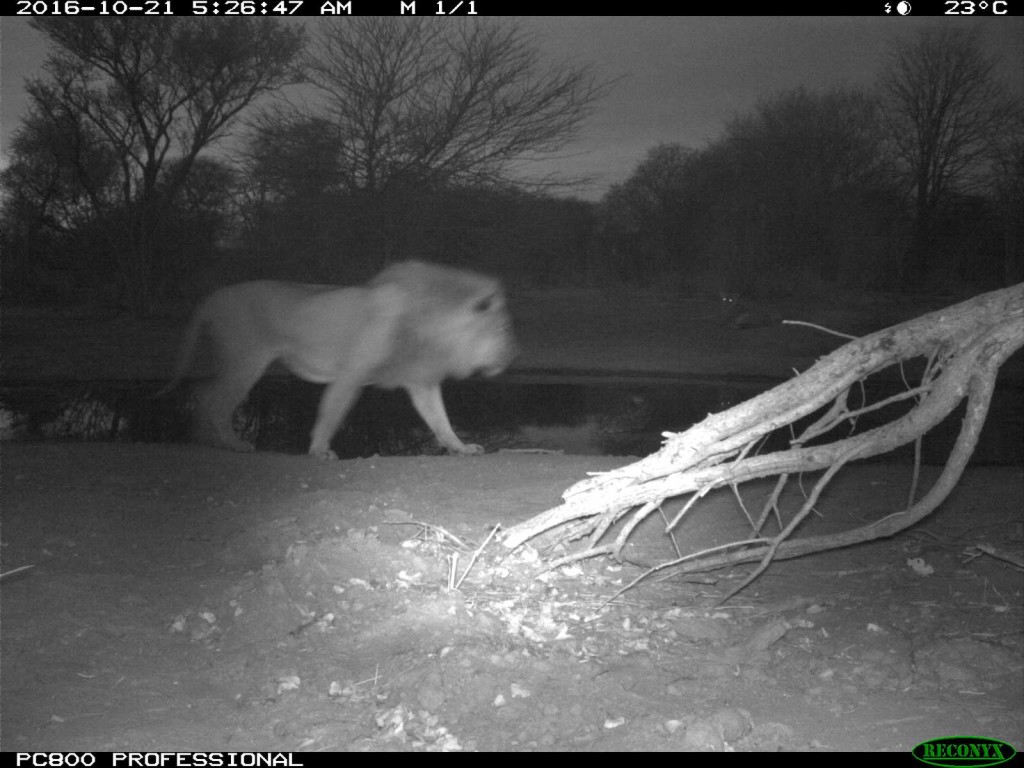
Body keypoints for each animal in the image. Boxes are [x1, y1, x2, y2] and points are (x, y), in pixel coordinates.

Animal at [154, 262, 516, 460]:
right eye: (501, 328)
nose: (514, 355)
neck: (434, 325)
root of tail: (211, 298)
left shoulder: (420, 379)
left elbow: (440, 419)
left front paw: (461, 447)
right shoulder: (352, 372)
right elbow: (330, 413)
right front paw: (319, 451)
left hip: (235, 360)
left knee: (202, 392)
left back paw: (205, 439)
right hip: (247, 358)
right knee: (215, 399)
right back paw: (232, 443)